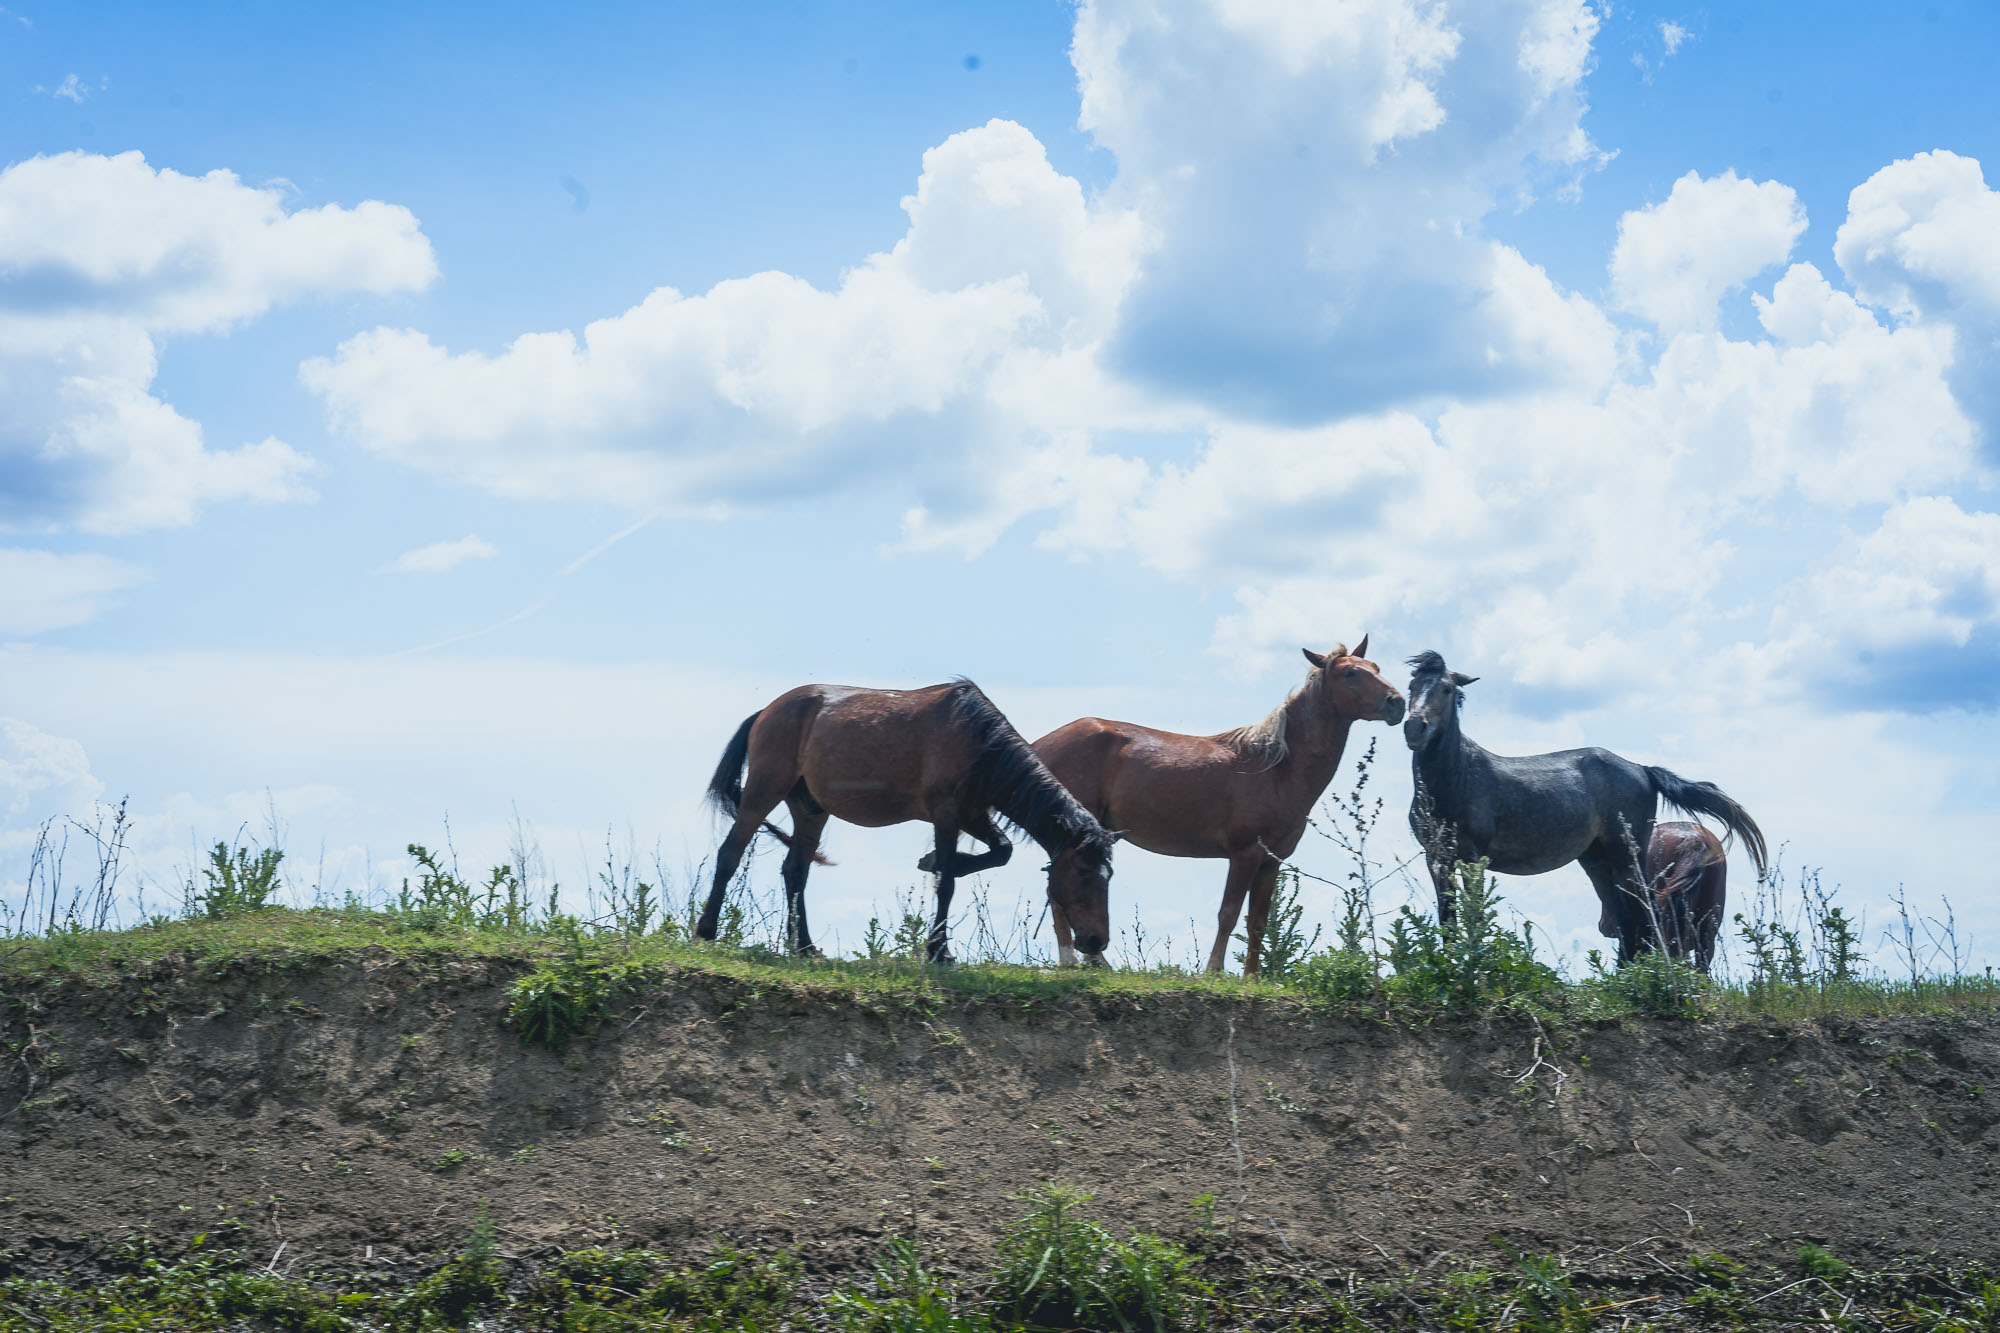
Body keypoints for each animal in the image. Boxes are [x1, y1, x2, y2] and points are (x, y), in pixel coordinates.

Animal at [700, 680, 1112, 960]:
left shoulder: (972, 815)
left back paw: (803, 946)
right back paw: (706, 931)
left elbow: (999, 852)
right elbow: (947, 883)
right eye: (1084, 873)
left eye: (1108, 876)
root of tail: (766, 712)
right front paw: (939, 950)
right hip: (763, 792)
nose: (1097, 941)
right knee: (730, 854)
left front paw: (935, 865)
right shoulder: (947, 815)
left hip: (810, 809)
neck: (981, 743)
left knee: (796, 871)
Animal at [1032, 640, 1408, 972]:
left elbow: (1258, 921)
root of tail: (1039, 745)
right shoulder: (1244, 854)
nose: (1398, 703)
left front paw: (1252, 978)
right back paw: (1075, 959)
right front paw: (1214, 970)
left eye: (1375, 667)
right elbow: (1228, 914)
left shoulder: (1272, 861)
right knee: (1059, 889)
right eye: (1350, 673)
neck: (1276, 768)